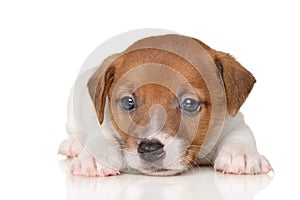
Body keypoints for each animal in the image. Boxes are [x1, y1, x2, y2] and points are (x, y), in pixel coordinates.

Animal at [58, 34, 272, 177]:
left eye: (189, 104)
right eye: (128, 102)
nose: (150, 148)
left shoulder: (233, 122)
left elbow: (240, 135)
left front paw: (242, 154)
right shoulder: (105, 124)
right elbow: (101, 136)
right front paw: (95, 157)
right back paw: (74, 143)